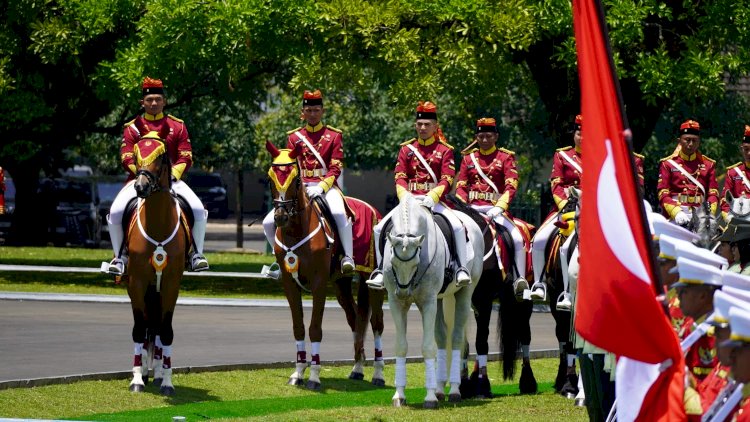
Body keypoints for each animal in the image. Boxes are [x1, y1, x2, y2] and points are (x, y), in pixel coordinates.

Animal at [122, 133, 188, 396]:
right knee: (148, 328)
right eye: (136, 154)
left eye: (160, 157)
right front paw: (137, 380)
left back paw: (158, 373)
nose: (140, 186)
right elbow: (139, 329)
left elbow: (166, 331)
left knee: (158, 329)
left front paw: (167, 381)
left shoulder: (171, 284)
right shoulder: (137, 283)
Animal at [268, 141, 388, 390]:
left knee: (376, 323)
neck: (296, 231)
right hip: (341, 283)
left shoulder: (319, 283)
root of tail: (375, 211)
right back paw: (357, 368)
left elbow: (315, 328)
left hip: (371, 282)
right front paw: (298, 373)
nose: (281, 217)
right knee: (356, 319)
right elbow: (298, 327)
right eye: (270, 178)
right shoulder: (289, 283)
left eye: (296, 179)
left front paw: (314, 377)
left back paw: (378, 374)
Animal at [384, 195, 484, 408]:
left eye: (416, 262)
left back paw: (453, 390)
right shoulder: (395, 303)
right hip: (439, 299)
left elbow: (428, 348)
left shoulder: (428, 302)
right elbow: (401, 346)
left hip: (463, 294)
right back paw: (439, 390)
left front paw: (429, 398)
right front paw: (399, 395)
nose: (404, 293)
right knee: (441, 337)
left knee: (456, 339)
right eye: (393, 261)